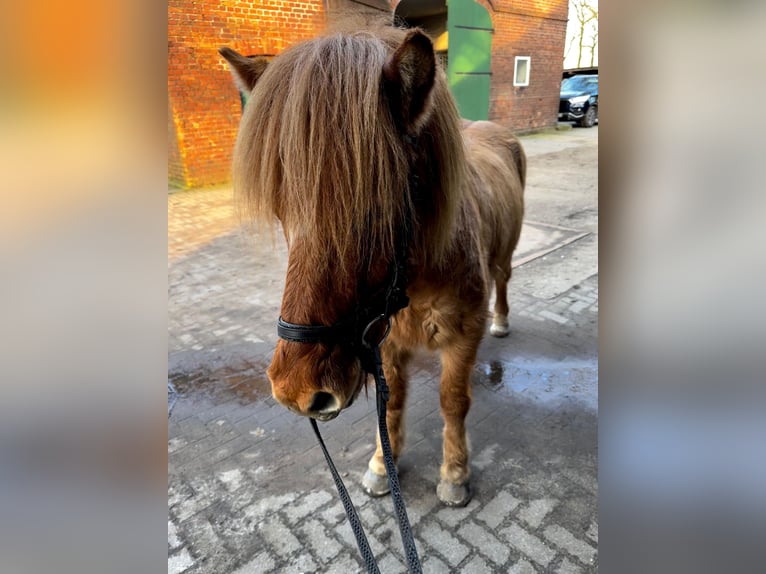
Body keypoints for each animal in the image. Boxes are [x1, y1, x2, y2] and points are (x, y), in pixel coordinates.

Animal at [219, 23, 524, 508]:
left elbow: (453, 400)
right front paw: (384, 463)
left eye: (374, 209)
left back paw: (502, 320)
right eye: (283, 210)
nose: (297, 390)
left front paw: (455, 473)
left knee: (504, 280)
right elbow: (392, 400)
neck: (419, 279)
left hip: (506, 256)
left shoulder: (461, 338)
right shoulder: (383, 341)